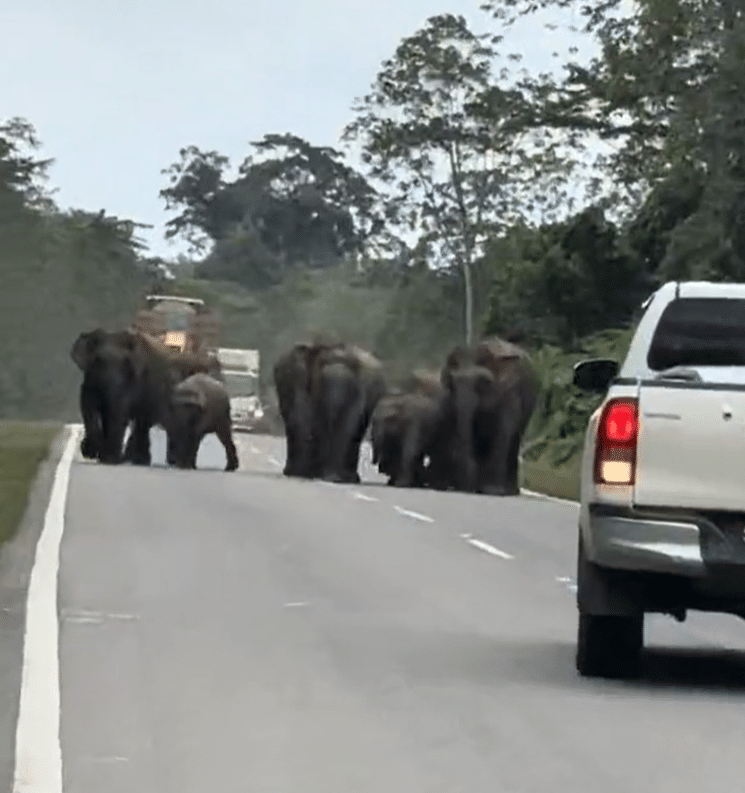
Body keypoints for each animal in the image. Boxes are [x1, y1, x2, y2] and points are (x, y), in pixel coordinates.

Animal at [72, 326, 224, 464]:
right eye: (97, 361)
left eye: (127, 363)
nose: (88, 451)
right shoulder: (91, 377)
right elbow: (87, 404)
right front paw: (93, 452)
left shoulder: (137, 379)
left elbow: (119, 410)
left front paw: (106, 457)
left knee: (142, 422)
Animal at [438, 334, 536, 496]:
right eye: (451, 384)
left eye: (483, 383)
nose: (467, 488)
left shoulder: (511, 394)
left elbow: (503, 432)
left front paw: (493, 490)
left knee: (514, 440)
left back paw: (509, 491)